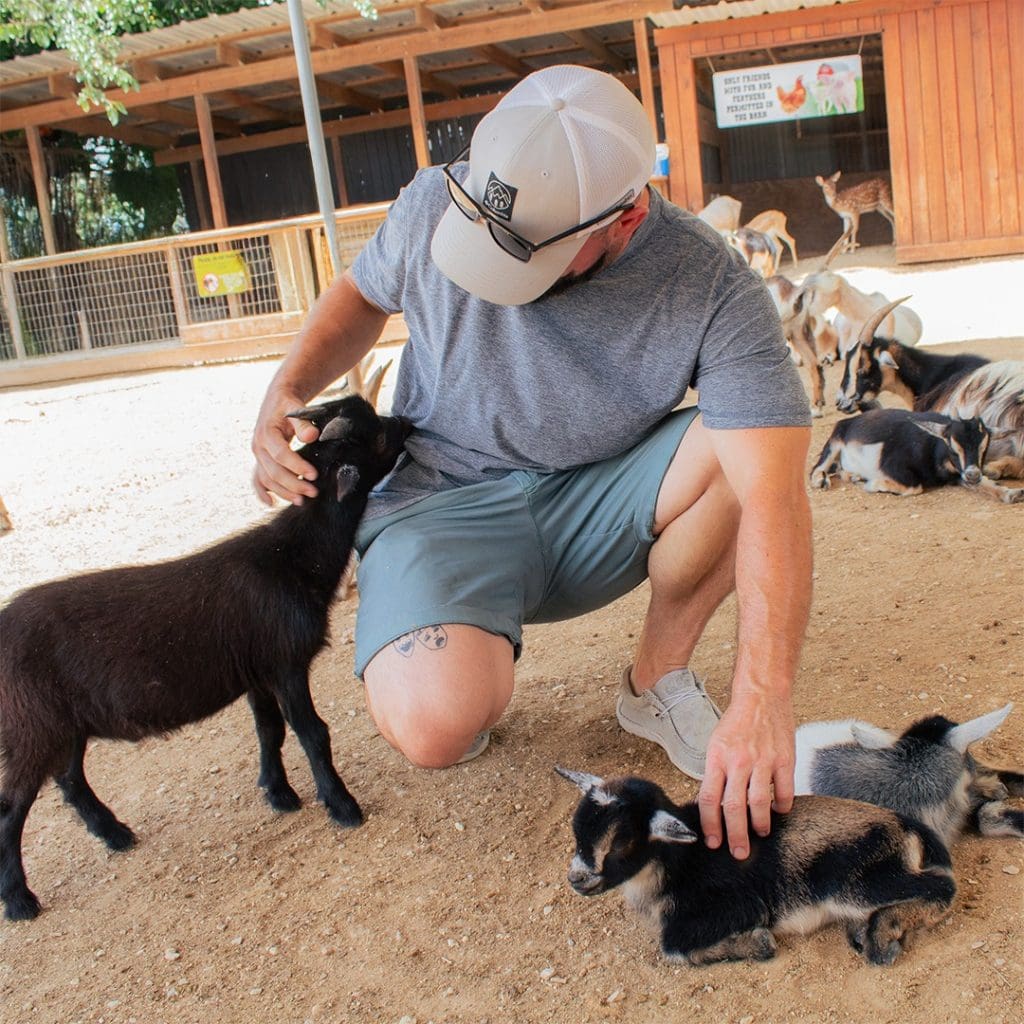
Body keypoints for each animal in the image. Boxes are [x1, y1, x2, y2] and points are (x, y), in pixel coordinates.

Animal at [0, 394, 410, 921]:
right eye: (376, 435)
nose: (408, 424)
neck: (293, 556)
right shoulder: (285, 663)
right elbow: (312, 733)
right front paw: (341, 806)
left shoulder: (257, 672)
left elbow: (269, 730)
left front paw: (279, 794)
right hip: (31, 724)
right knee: (12, 807)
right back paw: (18, 899)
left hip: (63, 720)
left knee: (70, 780)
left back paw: (115, 834)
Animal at [556, 768, 956, 966]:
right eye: (577, 830)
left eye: (623, 843)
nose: (578, 879)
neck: (680, 861)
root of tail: (906, 825)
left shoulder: (742, 906)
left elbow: (671, 945)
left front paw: (756, 943)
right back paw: (866, 929)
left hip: (854, 882)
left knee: (942, 886)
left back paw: (884, 932)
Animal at [808, 408, 1021, 502]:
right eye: (952, 447)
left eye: (984, 447)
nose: (973, 474)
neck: (933, 447)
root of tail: (850, 421)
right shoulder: (894, 468)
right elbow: (914, 487)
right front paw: (873, 484)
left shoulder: (959, 475)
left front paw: (1012, 493)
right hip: (834, 441)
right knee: (815, 470)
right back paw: (823, 480)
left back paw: (854, 476)